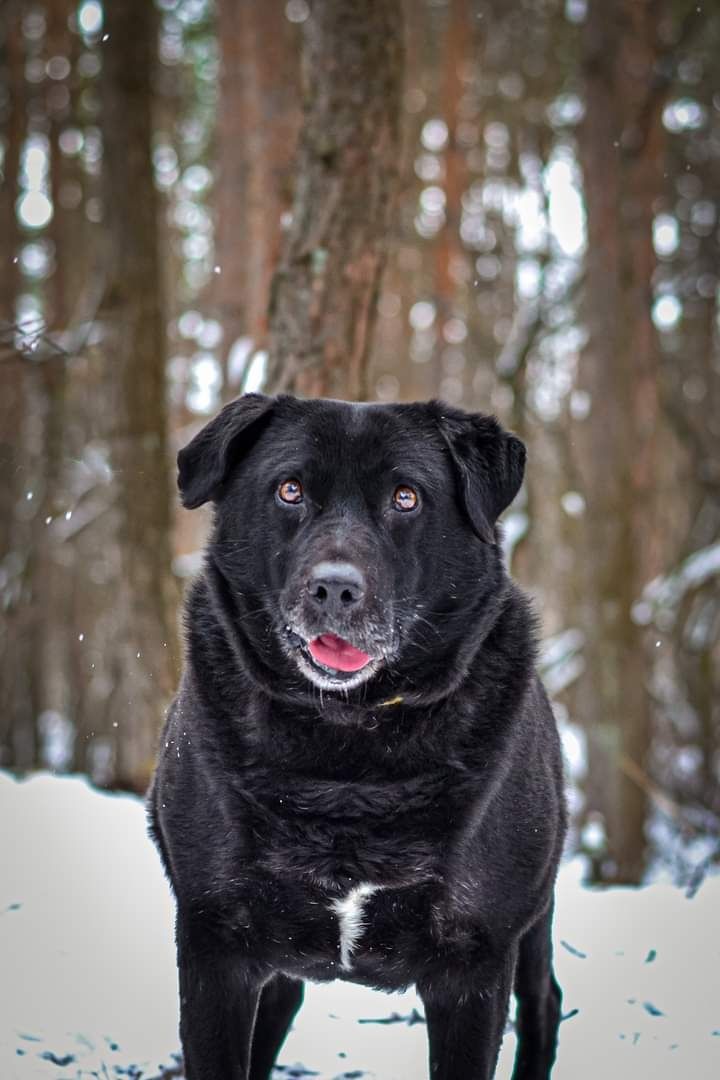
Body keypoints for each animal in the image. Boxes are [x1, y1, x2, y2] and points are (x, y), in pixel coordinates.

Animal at [148, 393, 569, 1075]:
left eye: (406, 497)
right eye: (290, 490)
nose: (335, 588)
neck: (348, 743)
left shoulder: (475, 960)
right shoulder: (215, 940)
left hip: (535, 921)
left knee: (545, 1002)